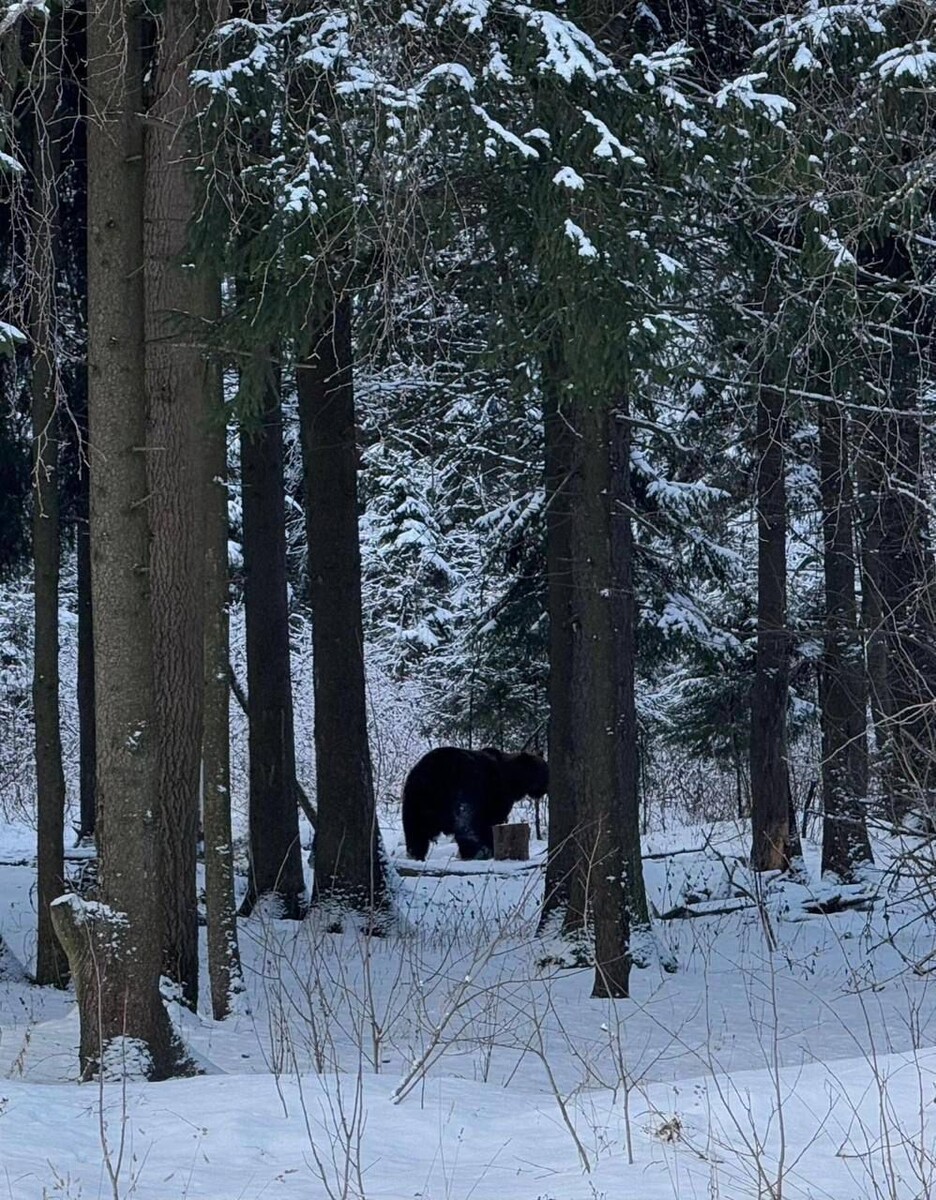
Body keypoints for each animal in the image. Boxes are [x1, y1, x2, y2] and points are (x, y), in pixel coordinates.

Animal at [402, 746, 549, 861]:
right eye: (543, 770)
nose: (546, 788)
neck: (513, 782)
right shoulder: (495, 796)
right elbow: (489, 822)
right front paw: (490, 847)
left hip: (414, 798)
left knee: (414, 831)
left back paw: (415, 854)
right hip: (463, 784)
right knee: (465, 819)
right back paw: (478, 851)